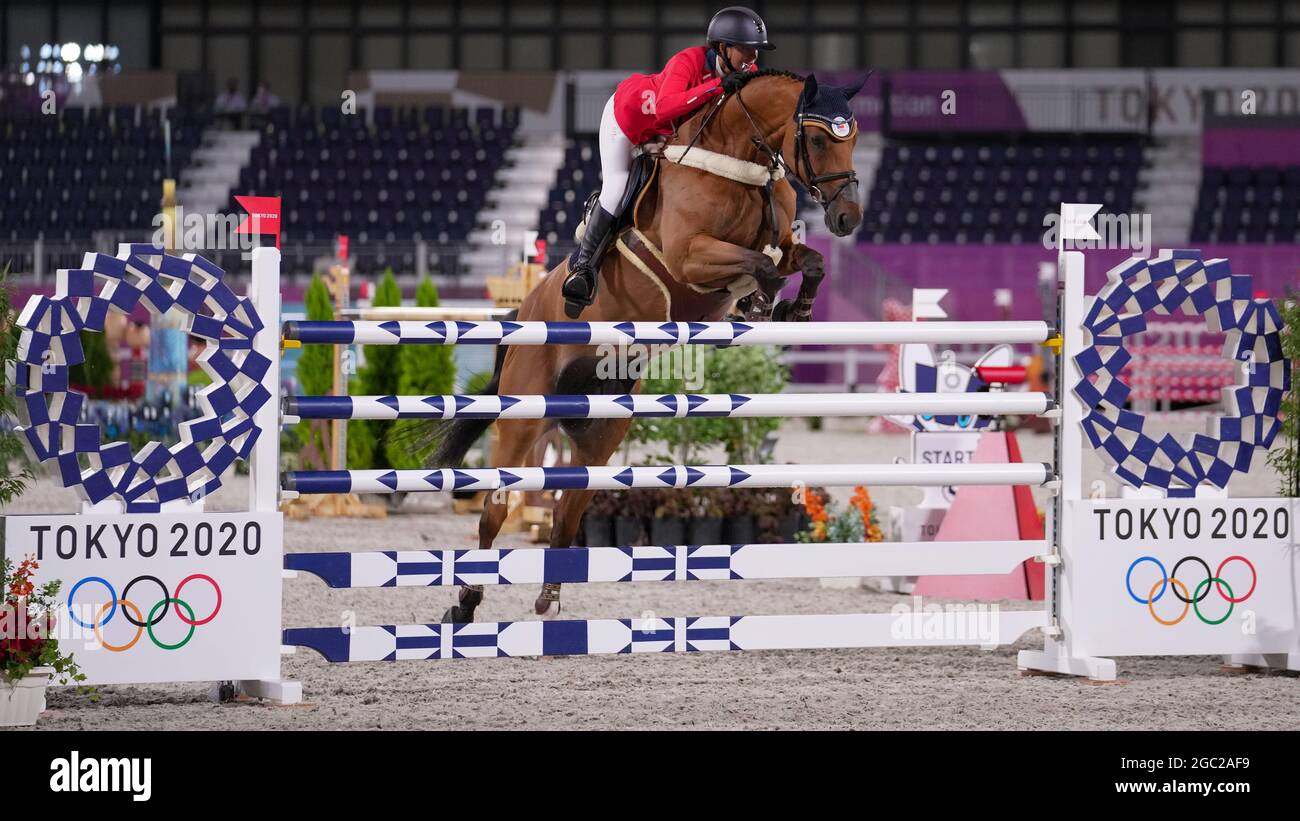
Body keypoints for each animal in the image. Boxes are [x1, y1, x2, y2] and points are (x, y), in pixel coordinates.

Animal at [431, 72, 868, 620]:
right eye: (817, 139)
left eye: (852, 138)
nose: (848, 217)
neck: (742, 168)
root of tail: (522, 315)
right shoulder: (690, 256)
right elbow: (761, 266)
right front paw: (760, 303)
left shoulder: (780, 244)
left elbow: (807, 261)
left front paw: (795, 309)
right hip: (524, 415)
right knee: (496, 507)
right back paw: (466, 600)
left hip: (600, 430)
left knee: (568, 507)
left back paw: (549, 596)